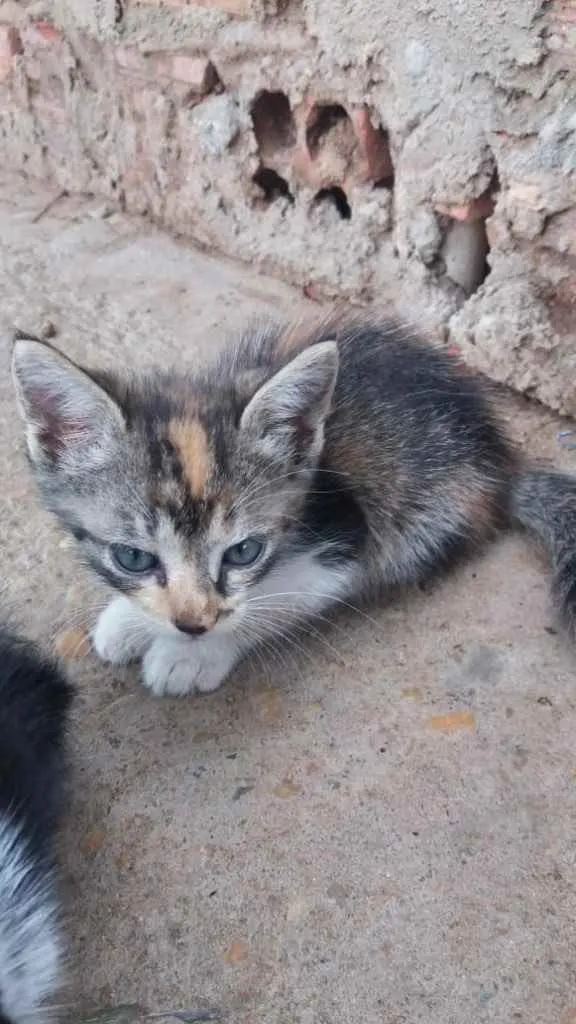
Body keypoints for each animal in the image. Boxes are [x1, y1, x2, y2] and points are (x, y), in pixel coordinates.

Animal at [10, 311, 576, 696]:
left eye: (243, 553)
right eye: (133, 557)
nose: (192, 625)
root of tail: (502, 462)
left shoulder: (346, 536)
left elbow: (273, 599)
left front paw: (192, 654)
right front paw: (132, 620)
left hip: (427, 511)